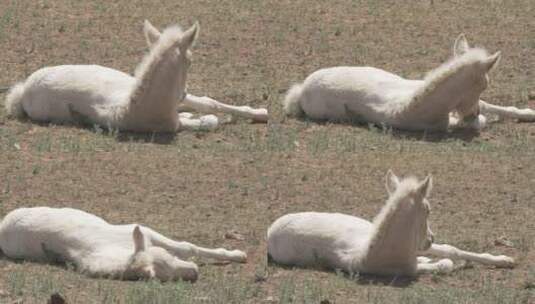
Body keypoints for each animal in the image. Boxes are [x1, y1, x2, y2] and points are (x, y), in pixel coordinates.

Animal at [0, 208, 247, 282]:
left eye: (167, 256)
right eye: (163, 276)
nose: (194, 272)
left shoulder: (145, 231)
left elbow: (187, 247)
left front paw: (238, 255)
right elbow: (187, 249)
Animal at [5, 20, 268, 132]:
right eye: (191, 60)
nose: (182, 93)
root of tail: (24, 89)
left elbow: (209, 103)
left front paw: (261, 113)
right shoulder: (173, 123)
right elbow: (208, 121)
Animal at [268, 170, 516, 276]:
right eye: (428, 209)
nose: (430, 238)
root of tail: (271, 230)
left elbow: (450, 250)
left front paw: (506, 260)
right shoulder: (409, 268)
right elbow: (444, 264)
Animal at [282, 34, 532, 132]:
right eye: (485, 84)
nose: (472, 113)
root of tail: (301, 90)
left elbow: (493, 107)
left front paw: (529, 114)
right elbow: (480, 122)